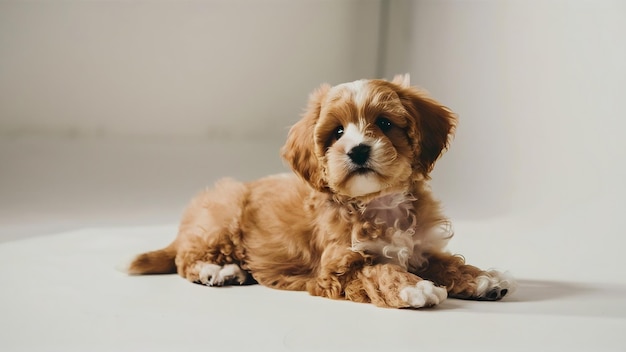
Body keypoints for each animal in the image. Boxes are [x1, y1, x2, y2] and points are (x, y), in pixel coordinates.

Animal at [125, 75, 512, 308]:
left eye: (384, 123)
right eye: (337, 133)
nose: (357, 150)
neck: (380, 203)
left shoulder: (422, 248)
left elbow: (448, 262)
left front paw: (481, 278)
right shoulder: (338, 267)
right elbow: (378, 270)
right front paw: (413, 287)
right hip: (222, 216)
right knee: (185, 259)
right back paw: (218, 271)